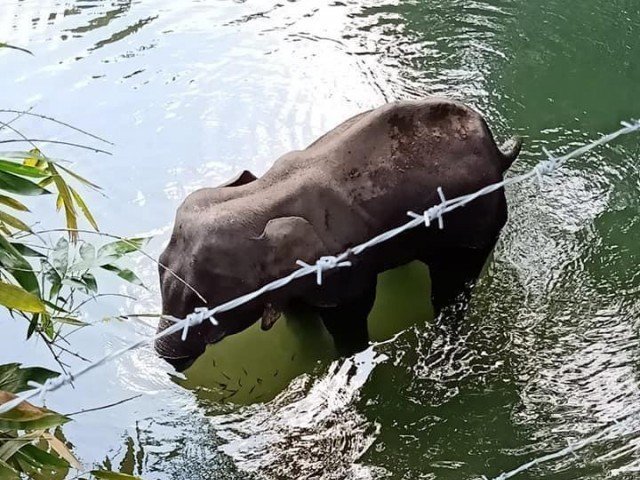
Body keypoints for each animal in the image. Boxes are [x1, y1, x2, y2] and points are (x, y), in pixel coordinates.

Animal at [155, 97, 522, 370]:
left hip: (478, 219)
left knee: (453, 283)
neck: (264, 195)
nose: (166, 357)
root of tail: (499, 153)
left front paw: (345, 358)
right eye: (159, 265)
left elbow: (351, 315)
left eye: (204, 307)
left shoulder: (343, 268)